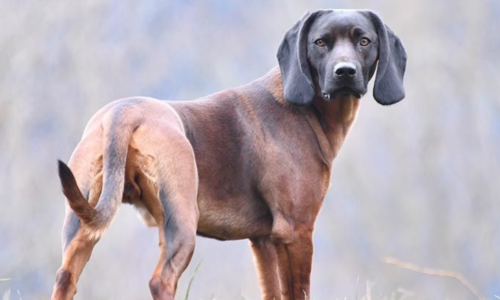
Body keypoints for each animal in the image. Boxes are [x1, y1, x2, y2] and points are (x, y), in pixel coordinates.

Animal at [51, 8, 406, 300]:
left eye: (364, 41)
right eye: (320, 42)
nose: (344, 72)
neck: (304, 109)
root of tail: (123, 112)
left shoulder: (264, 241)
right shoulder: (296, 231)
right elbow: (298, 291)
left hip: (81, 227)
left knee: (65, 276)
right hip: (182, 223)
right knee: (161, 281)